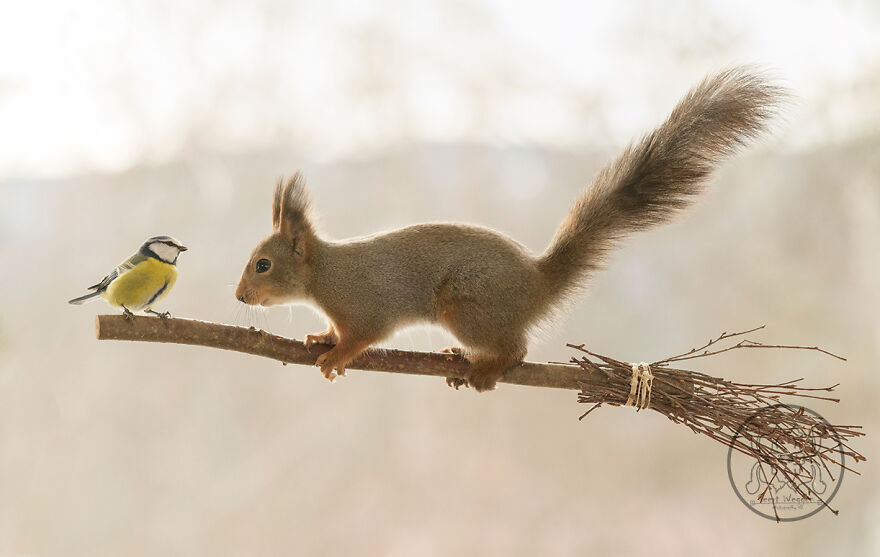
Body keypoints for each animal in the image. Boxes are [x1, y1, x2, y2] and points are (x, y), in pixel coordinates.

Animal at [235, 67, 785, 391]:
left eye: (263, 264)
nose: (239, 297)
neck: (323, 275)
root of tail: (538, 284)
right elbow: (334, 330)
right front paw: (319, 338)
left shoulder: (367, 305)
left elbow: (366, 335)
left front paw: (337, 355)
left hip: (469, 307)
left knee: (516, 349)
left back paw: (485, 367)